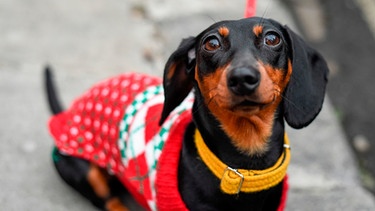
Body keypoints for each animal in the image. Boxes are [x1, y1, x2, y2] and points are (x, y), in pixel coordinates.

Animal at [45, 17, 328, 210]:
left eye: (272, 38)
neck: (242, 170)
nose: (243, 78)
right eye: (211, 43)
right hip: (84, 171)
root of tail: (69, 111)